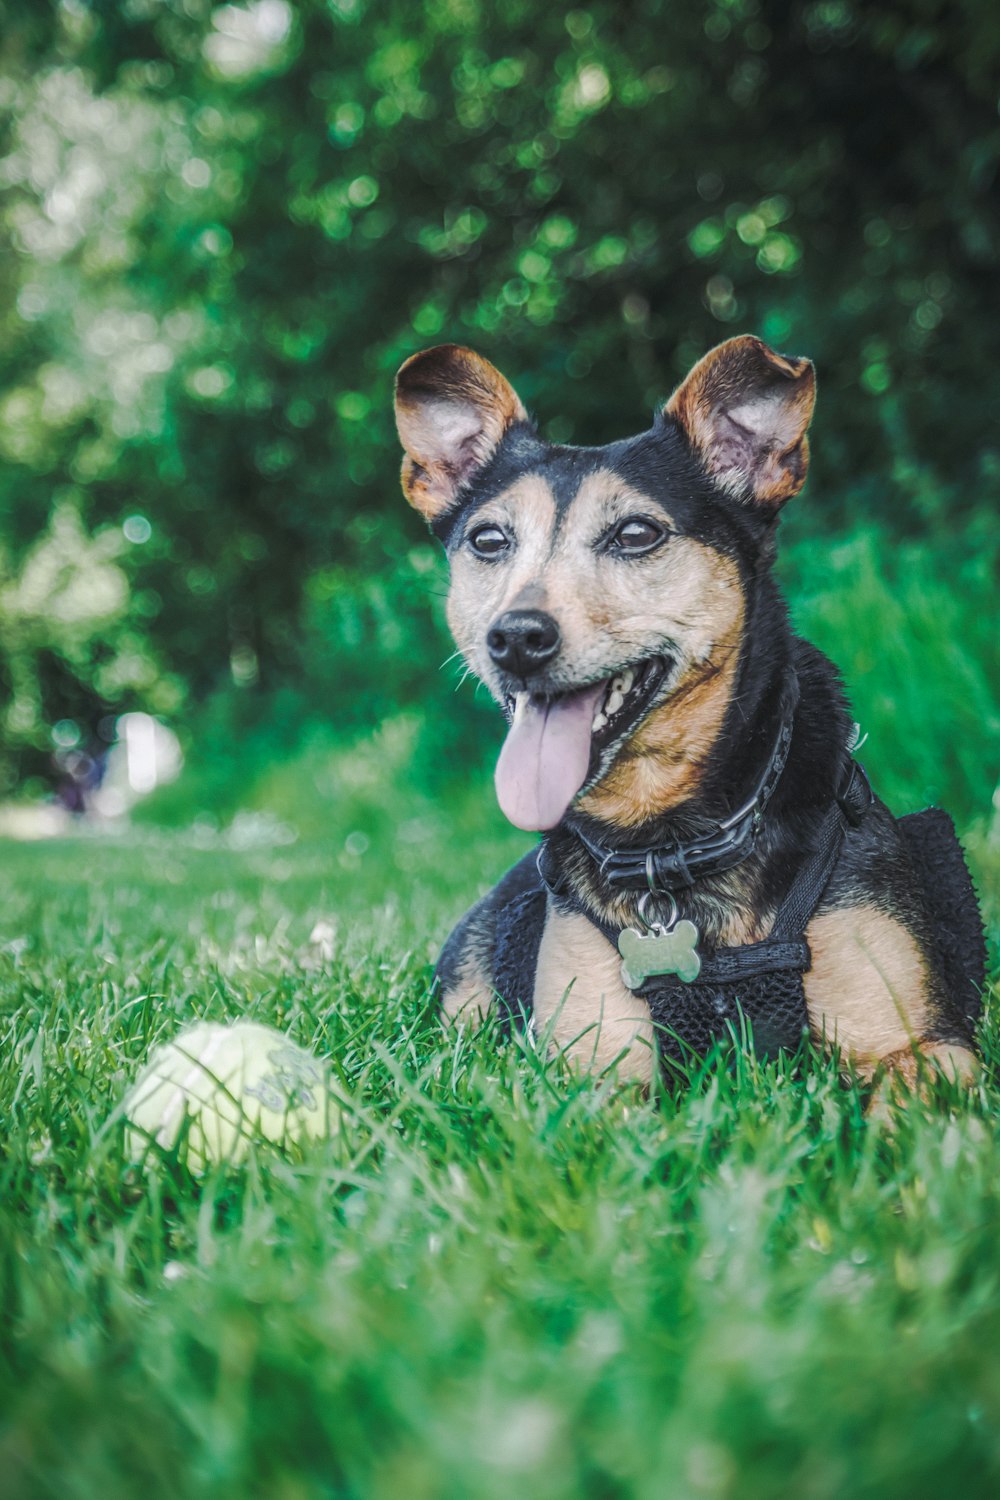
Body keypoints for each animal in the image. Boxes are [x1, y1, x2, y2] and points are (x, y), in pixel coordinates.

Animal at [389, 337, 983, 1092]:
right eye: (489, 541)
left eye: (636, 533)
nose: (516, 638)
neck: (667, 844)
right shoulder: (586, 1075)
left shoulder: (927, 1046)